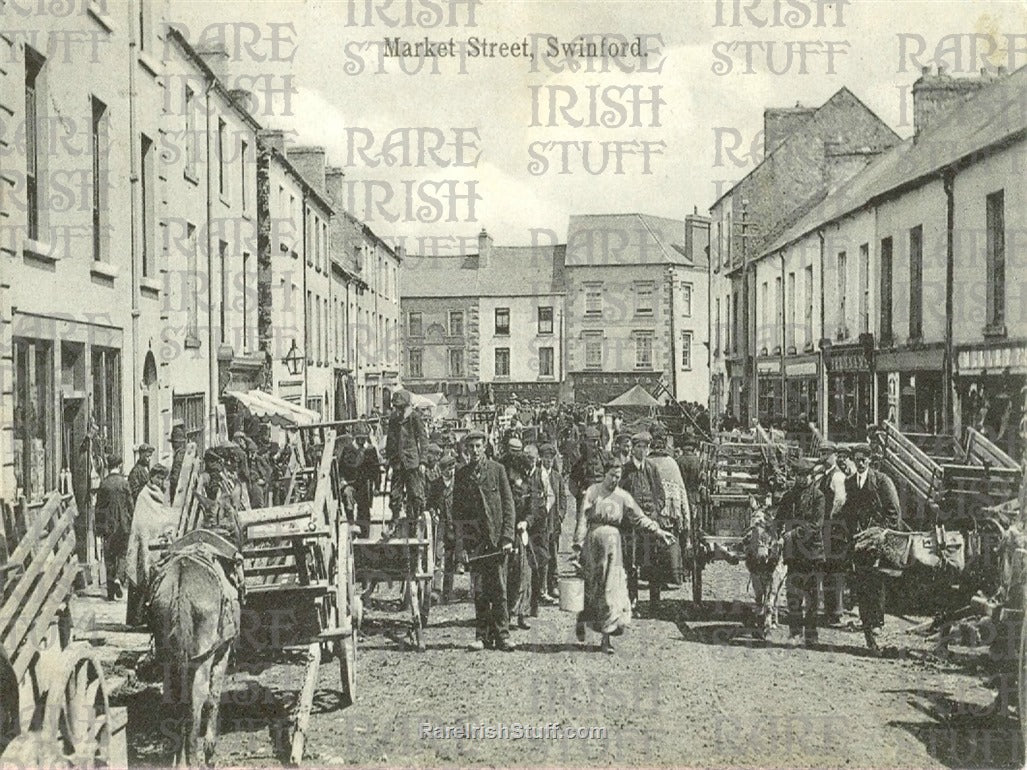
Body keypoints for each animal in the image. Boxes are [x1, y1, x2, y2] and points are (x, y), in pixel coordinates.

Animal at [147, 529, 241, 770]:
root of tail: (181, 577)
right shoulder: (222, 650)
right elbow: (214, 695)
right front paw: (209, 747)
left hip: (168, 652)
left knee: (175, 696)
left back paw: (179, 757)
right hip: (204, 655)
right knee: (198, 695)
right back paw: (193, 756)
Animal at [747, 503, 784, 640]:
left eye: (769, 528)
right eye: (752, 527)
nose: (762, 556)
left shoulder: (774, 578)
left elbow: (769, 603)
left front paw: (767, 628)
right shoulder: (755, 577)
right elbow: (759, 599)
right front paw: (758, 622)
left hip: (780, 581)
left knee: (775, 599)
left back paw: (774, 621)